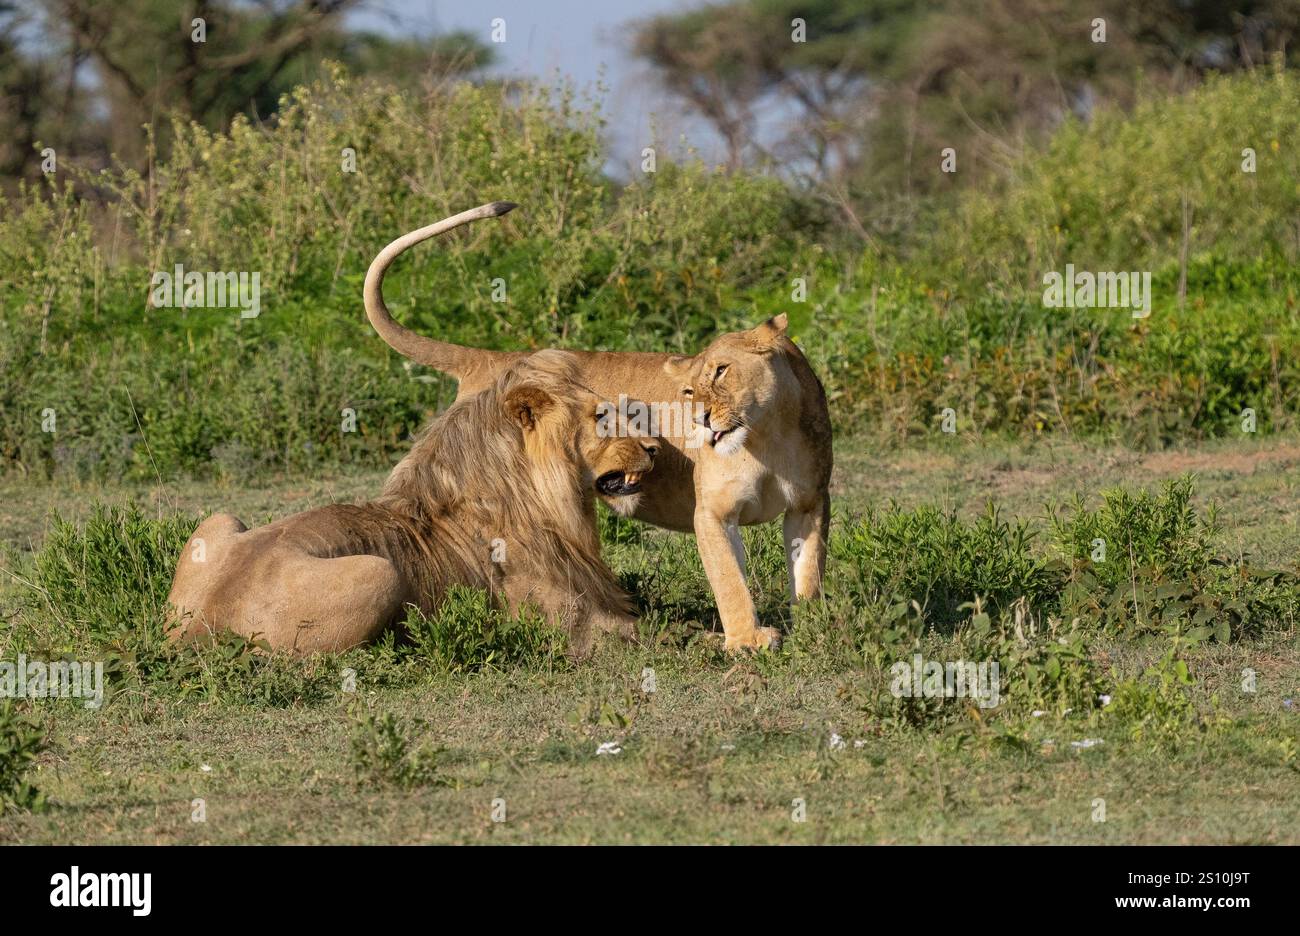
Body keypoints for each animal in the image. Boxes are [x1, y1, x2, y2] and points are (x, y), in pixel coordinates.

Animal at [165, 350, 659, 657]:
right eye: (601, 416)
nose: (655, 448)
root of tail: (202, 621)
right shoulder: (575, 627)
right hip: (378, 570)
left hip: (220, 518)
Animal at [363, 202, 833, 651]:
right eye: (687, 390)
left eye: (721, 371)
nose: (698, 418)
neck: (767, 436)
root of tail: (486, 358)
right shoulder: (714, 512)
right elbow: (731, 582)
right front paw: (746, 641)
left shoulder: (809, 504)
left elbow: (808, 574)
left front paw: (812, 629)